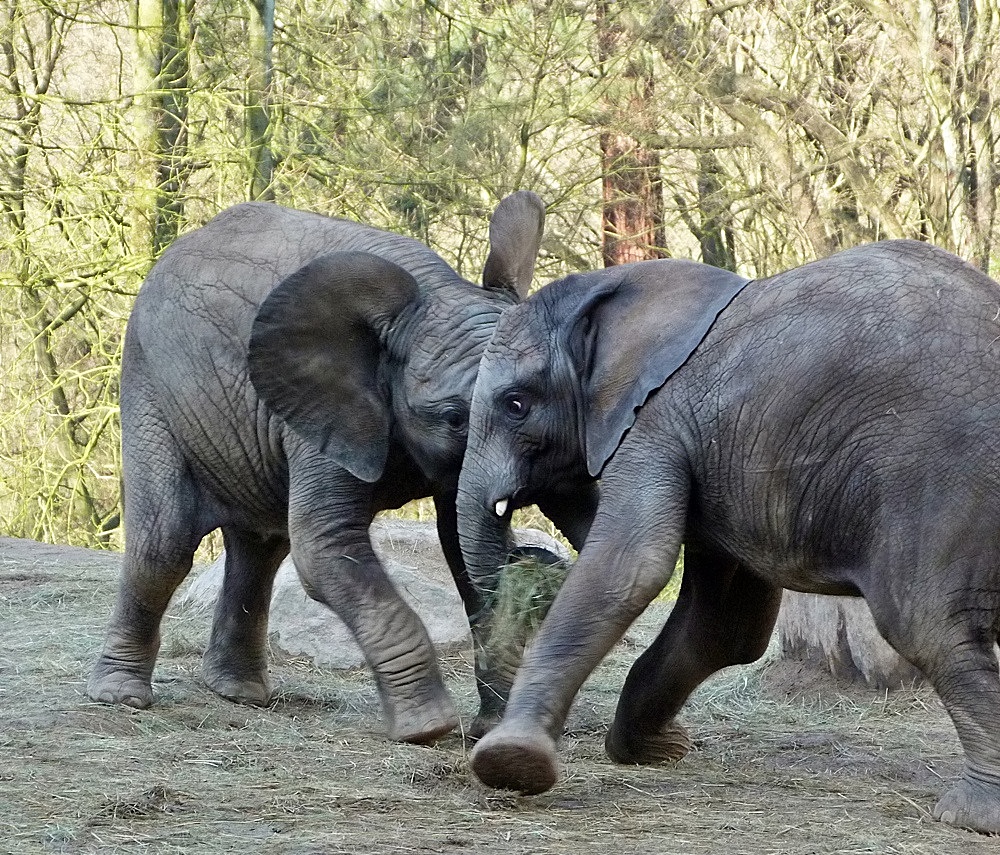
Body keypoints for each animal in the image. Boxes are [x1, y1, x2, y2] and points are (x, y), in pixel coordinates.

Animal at [89, 194, 548, 744]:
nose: (537, 557)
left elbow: (458, 540)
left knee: (260, 548)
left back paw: (239, 694)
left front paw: (492, 731)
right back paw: (121, 696)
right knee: (166, 543)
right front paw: (429, 729)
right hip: (152, 387)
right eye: (456, 417)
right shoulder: (322, 413)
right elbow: (325, 546)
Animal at [458, 242, 1000, 836]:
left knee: (926, 626)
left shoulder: (655, 422)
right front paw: (659, 750)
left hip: (942, 481)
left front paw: (510, 763)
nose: (524, 557)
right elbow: (726, 627)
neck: (612, 289)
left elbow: (630, 566)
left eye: (515, 404)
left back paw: (970, 815)